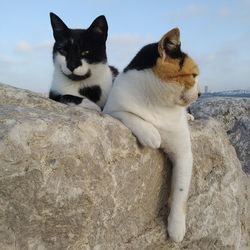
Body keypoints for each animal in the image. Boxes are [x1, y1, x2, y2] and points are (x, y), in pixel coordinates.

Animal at [103, 27, 199, 242]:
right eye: (194, 75)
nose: (200, 94)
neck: (159, 102)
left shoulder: (184, 154)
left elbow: (180, 192)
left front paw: (176, 228)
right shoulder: (111, 109)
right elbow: (130, 115)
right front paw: (152, 135)